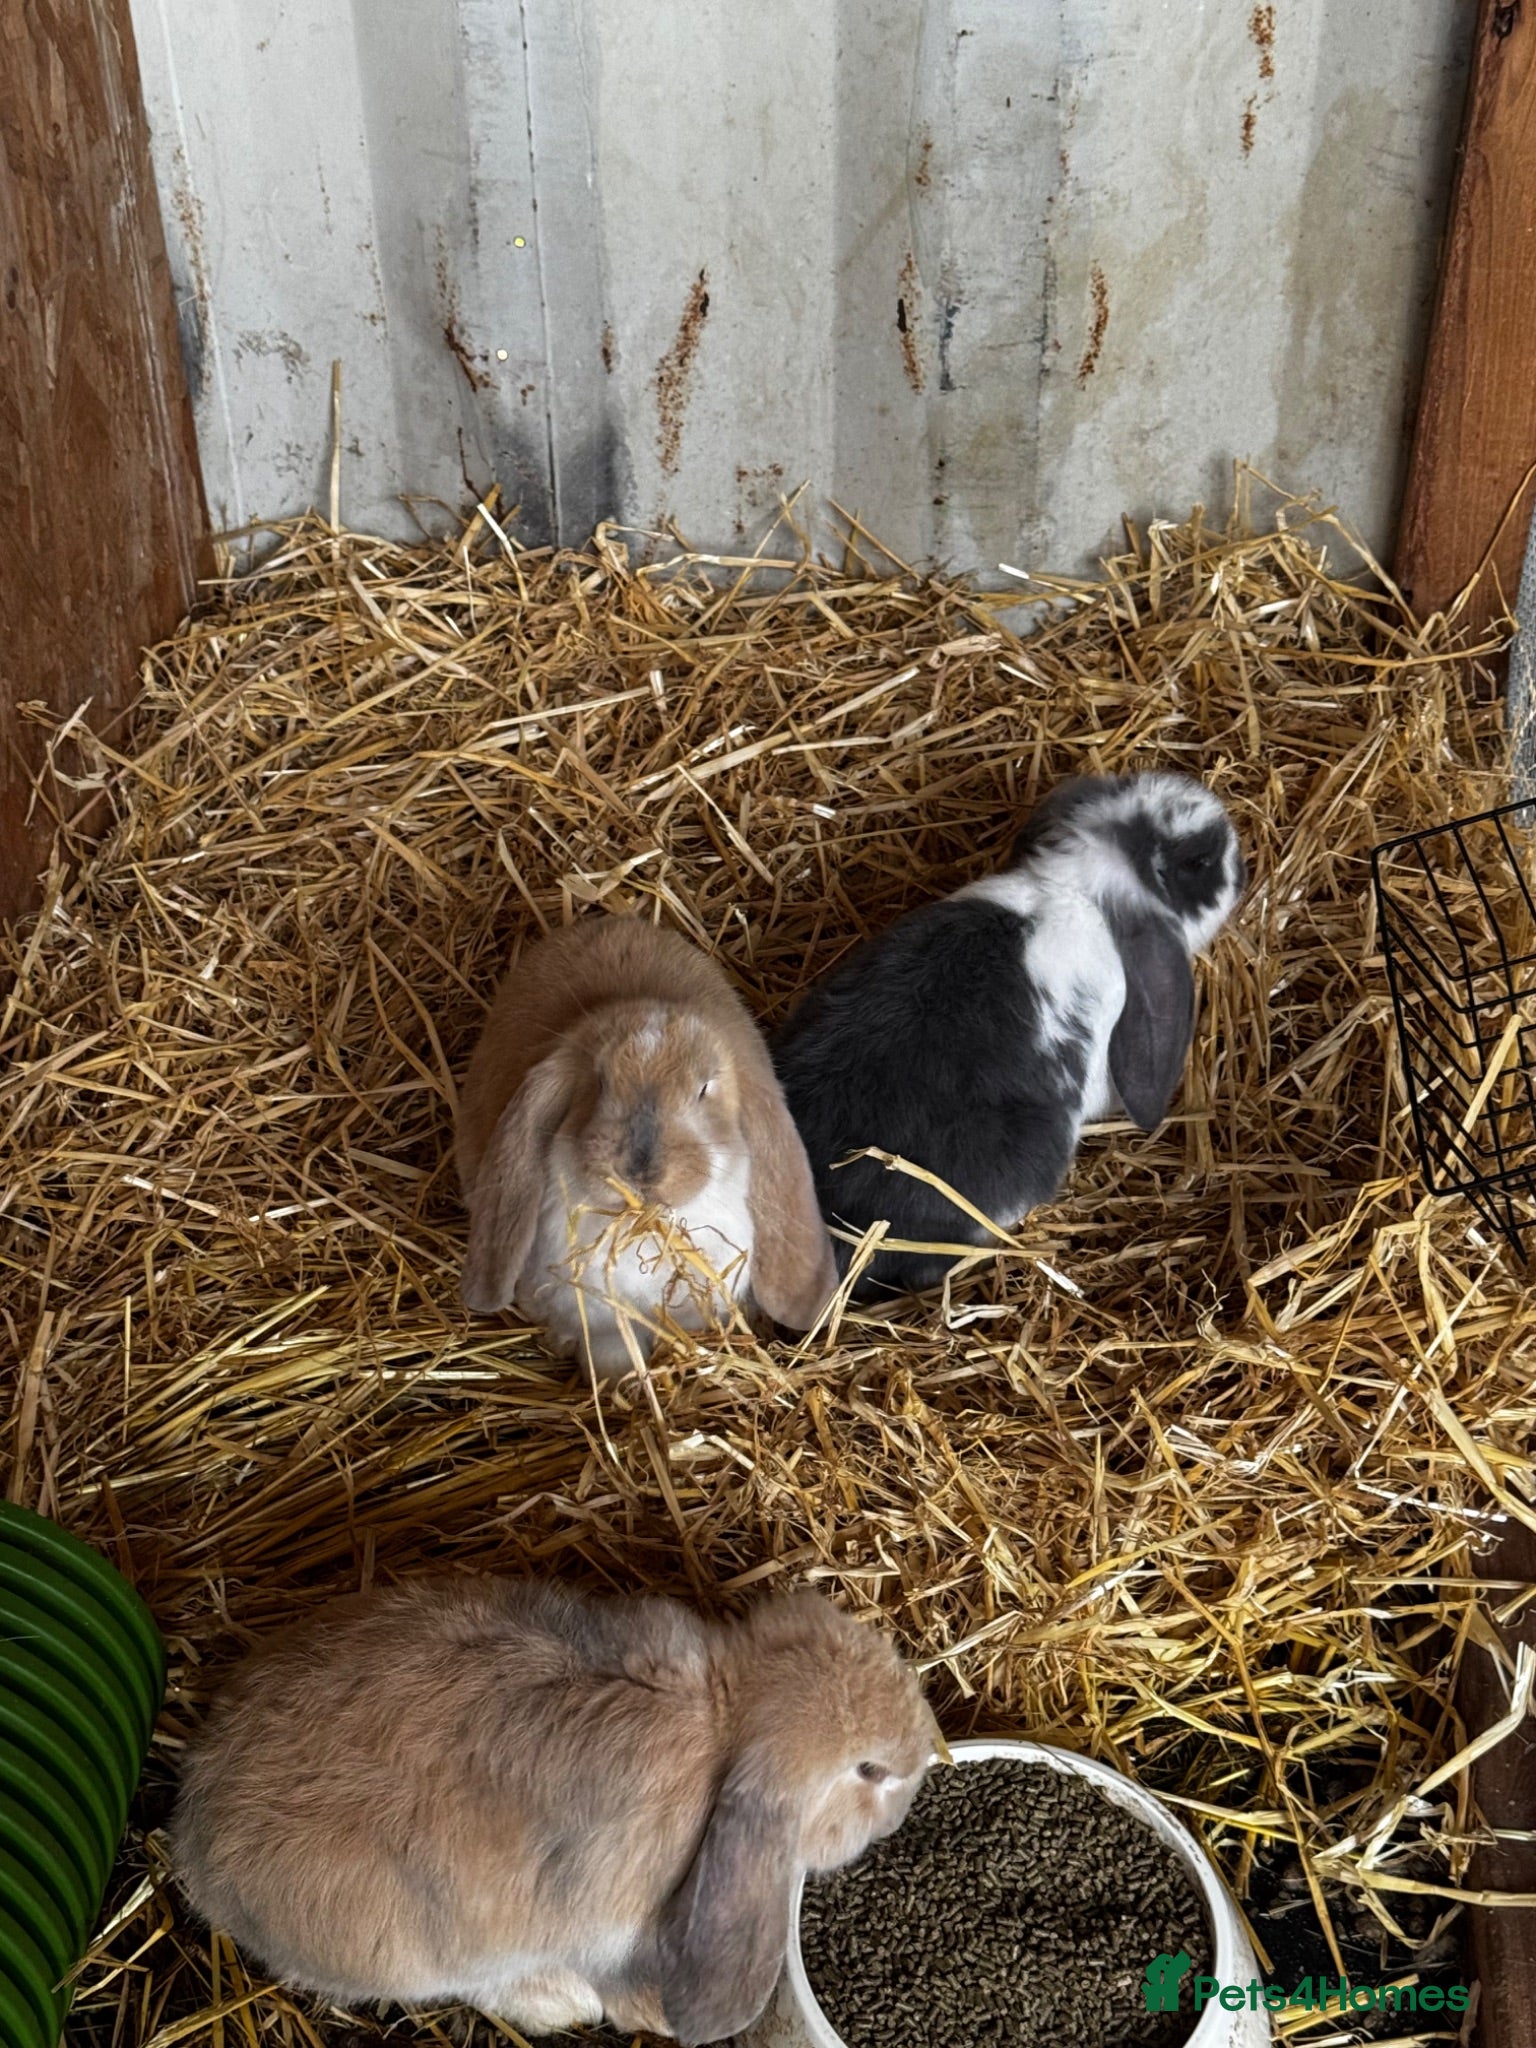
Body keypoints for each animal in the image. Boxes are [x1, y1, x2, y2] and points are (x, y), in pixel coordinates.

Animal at [170, 1575, 942, 2044]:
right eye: (870, 1771)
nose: (919, 1776)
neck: (727, 1714)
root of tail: (195, 1849)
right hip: (424, 1950)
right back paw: (561, 2003)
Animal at [456, 917, 839, 1376]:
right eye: (599, 1081)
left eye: (704, 1089)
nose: (640, 1169)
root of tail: (610, 920)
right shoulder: (601, 1326)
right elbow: (614, 1357)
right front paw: (627, 1384)